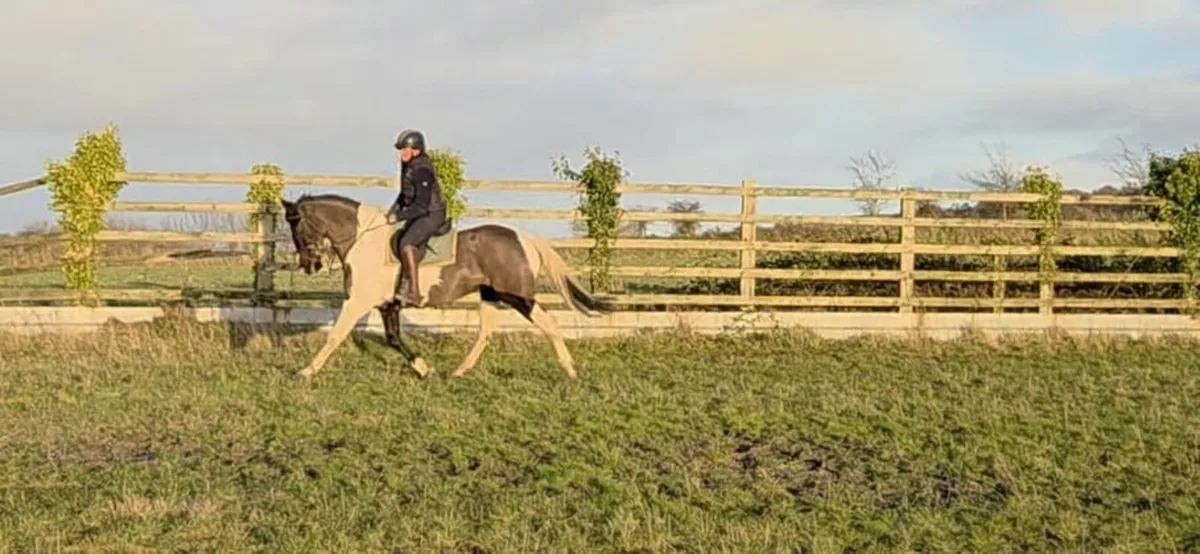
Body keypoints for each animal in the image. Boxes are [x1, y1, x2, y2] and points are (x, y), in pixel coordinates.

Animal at [278, 193, 613, 379]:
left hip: (517, 296)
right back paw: (460, 370)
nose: (309, 265)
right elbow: (393, 339)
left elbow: (335, 335)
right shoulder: (387, 305)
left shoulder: (358, 301)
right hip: (490, 295)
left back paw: (570, 371)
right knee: (486, 332)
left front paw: (306, 371)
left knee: (549, 324)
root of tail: (523, 237)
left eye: (296, 224)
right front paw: (423, 369)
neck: (364, 241)